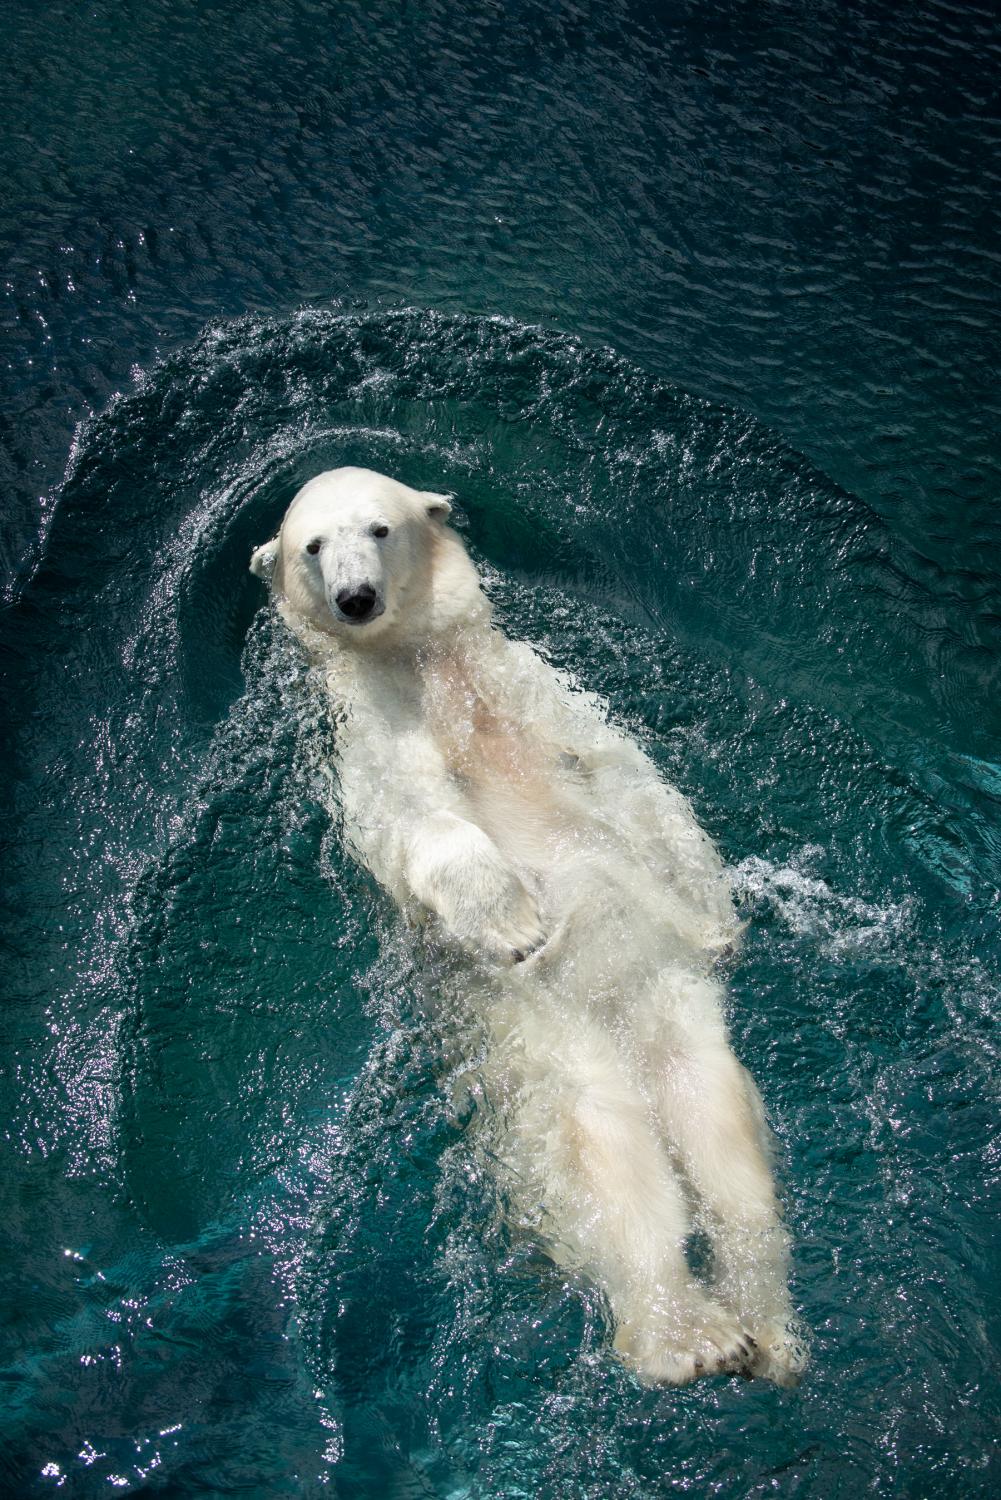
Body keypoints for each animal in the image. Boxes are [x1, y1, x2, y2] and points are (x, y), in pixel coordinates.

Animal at [250, 465, 804, 1380]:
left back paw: (767, 1327)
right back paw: (685, 1337)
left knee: (723, 1139)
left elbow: (630, 775)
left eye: (379, 528)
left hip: (674, 1012)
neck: (429, 667)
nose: (356, 599)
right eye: (312, 547)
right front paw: (513, 924)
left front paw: (717, 914)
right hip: (547, 1048)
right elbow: (416, 822)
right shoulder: (367, 739)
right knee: (605, 1158)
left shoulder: (535, 689)